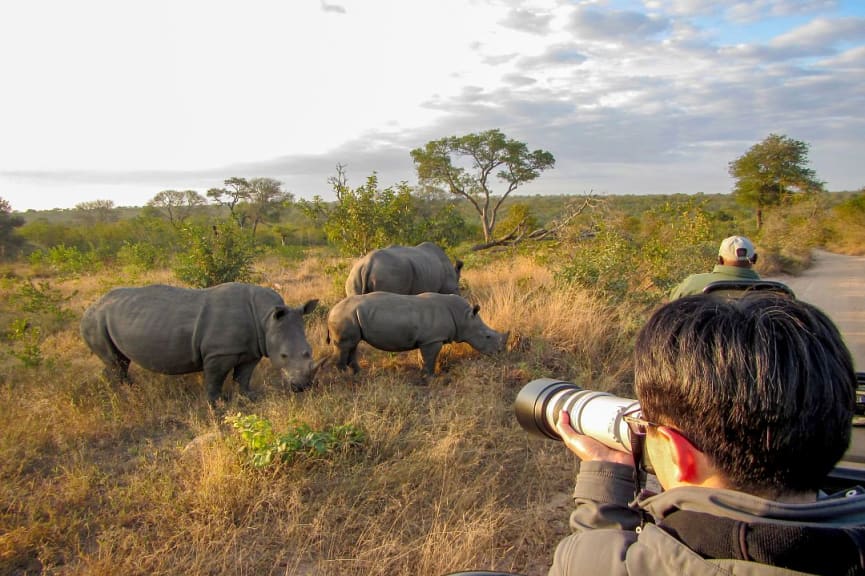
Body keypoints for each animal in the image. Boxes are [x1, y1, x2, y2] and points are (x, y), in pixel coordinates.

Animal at [330, 294, 506, 376]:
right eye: (487, 337)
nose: (499, 353)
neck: (463, 317)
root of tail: (332, 310)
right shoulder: (432, 340)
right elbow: (430, 358)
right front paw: (430, 377)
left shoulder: (426, 340)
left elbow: (423, 358)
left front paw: (423, 373)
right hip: (344, 316)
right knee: (345, 346)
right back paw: (344, 376)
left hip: (350, 316)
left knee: (353, 344)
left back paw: (357, 374)